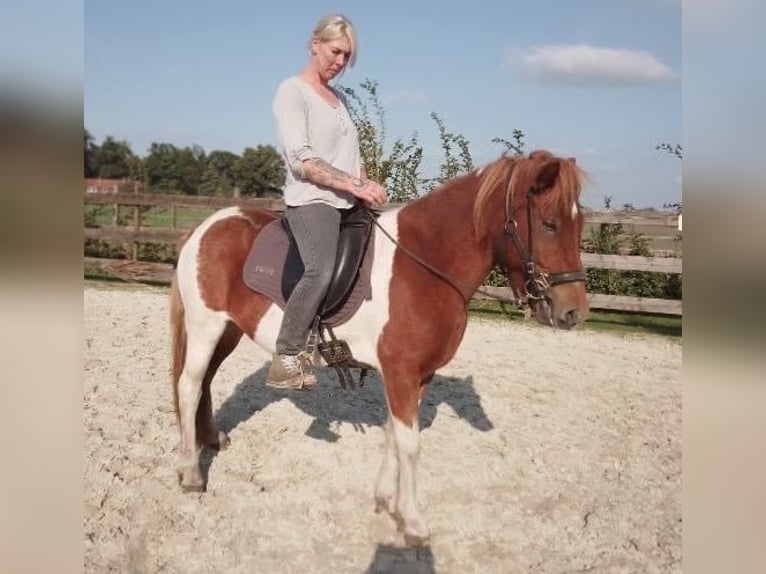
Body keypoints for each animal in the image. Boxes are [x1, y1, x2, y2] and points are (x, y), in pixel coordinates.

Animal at [169, 149, 589, 546]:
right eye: (549, 224)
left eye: (580, 224)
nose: (573, 312)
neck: (425, 263)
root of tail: (202, 228)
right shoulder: (401, 372)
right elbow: (410, 444)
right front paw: (414, 522)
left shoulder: (418, 375)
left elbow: (393, 434)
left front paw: (388, 501)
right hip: (205, 327)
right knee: (189, 387)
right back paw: (191, 473)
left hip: (229, 330)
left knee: (205, 383)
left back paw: (212, 440)